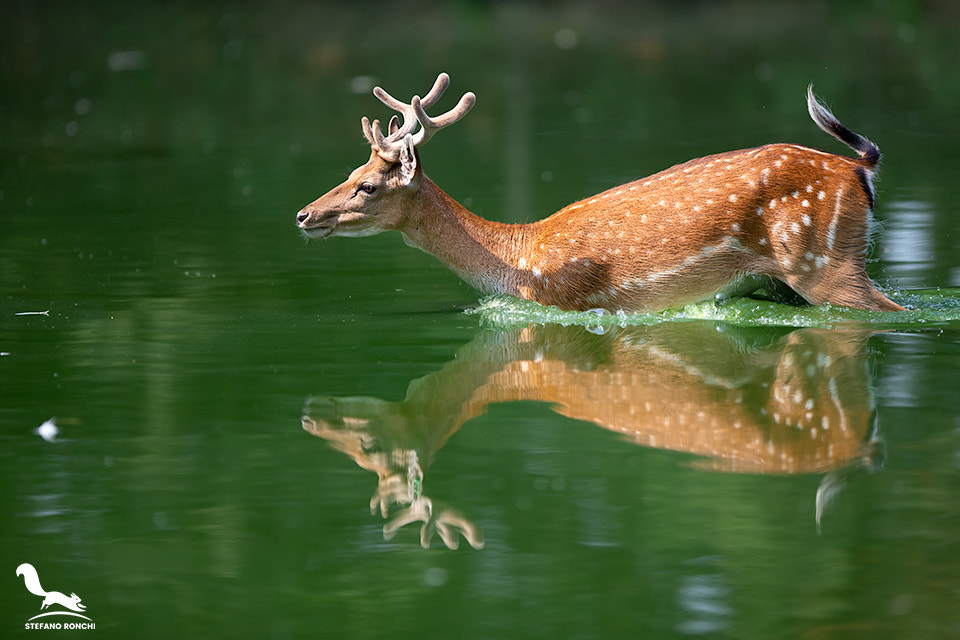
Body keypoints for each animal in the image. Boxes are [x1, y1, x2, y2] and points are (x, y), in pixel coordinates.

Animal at [296, 74, 904, 314]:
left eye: (367, 185)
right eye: (351, 170)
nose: (304, 214)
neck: (518, 258)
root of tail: (858, 169)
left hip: (823, 259)